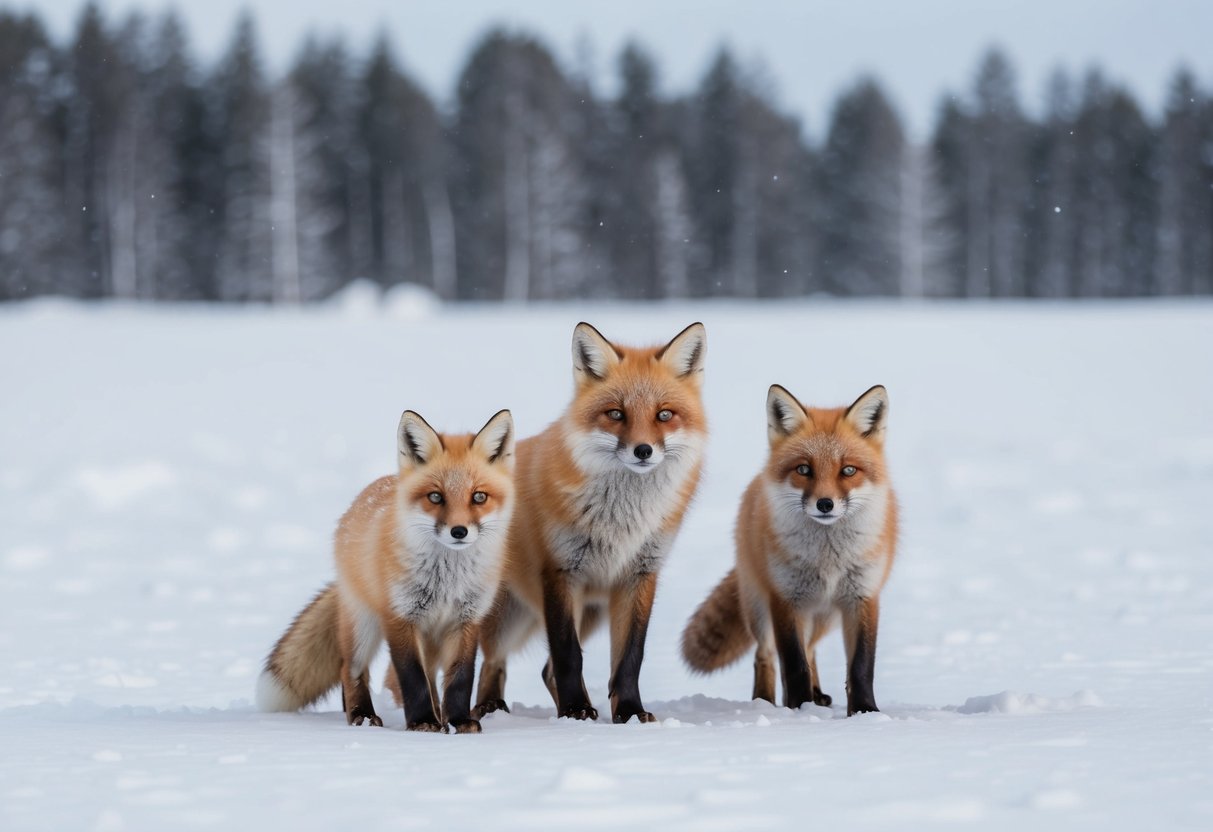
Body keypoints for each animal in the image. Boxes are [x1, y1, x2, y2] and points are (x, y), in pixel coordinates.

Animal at [255, 408, 515, 733]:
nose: (459, 531)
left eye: (479, 497)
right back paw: (362, 715)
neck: (447, 580)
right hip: (363, 625)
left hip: (431, 639)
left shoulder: (467, 620)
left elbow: (460, 677)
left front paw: (459, 721)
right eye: (435, 497)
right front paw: (422, 722)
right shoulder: (399, 617)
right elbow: (412, 677)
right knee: (351, 669)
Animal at [473, 321, 707, 724]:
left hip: (592, 612)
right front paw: (574, 710)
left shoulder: (639, 575)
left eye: (664, 415)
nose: (643, 451)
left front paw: (629, 712)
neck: (623, 519)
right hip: (505, 614)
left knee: (544, 670)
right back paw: (490, 708)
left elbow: (629, 659)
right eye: (616, 414)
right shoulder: (560, 573)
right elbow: (569, 655)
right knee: (494, 661)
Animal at [681, 384, 897, 716]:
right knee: (766, 655)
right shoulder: (785, 599)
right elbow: (794, 665)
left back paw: (817, 695)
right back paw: (766, 702)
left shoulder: (862, 597)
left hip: (824, 616)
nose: (825, 504)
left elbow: (861, 666)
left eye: (848, 470)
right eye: (804, 469)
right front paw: (799, 709)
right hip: (761, 609)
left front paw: (864, 712)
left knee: (811, 649)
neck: (827, 559)